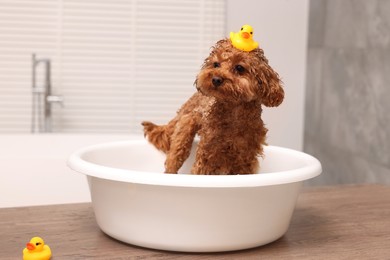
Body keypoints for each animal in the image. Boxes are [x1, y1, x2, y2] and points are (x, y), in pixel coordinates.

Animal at [142, 38, 282, 175]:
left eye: (239, 68)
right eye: (216, 64)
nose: (216, 79)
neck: (233, 115)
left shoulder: (245, 159)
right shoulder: (207, 155)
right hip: (183, 133)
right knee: (173, 159)